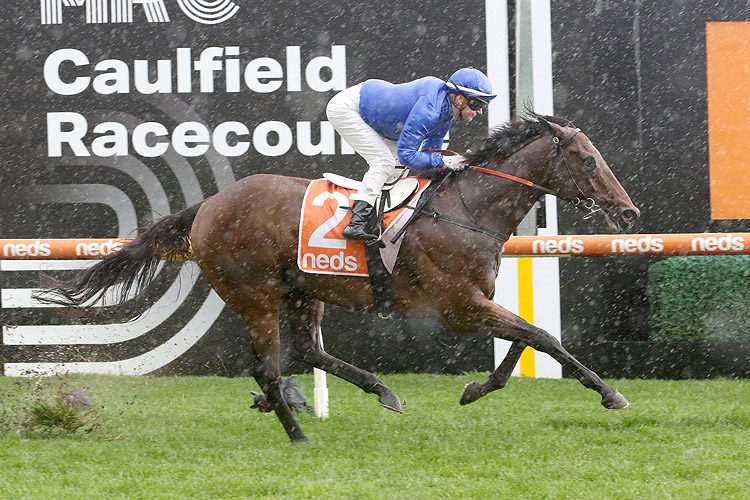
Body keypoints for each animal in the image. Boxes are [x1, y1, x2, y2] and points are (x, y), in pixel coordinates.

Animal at [38, 114, 640, 442]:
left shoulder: (477, 301)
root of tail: (208, 205)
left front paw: (475, 389)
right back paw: (299, 433)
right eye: (589, 160)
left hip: (304, 290)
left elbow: (523, 341)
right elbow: (539, 335)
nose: (629, 212)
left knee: (305, 351)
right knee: (268, 366)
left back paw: (379, 390)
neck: (467, 210)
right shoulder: (458, 307)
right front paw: (610, 393)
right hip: (253, 293)